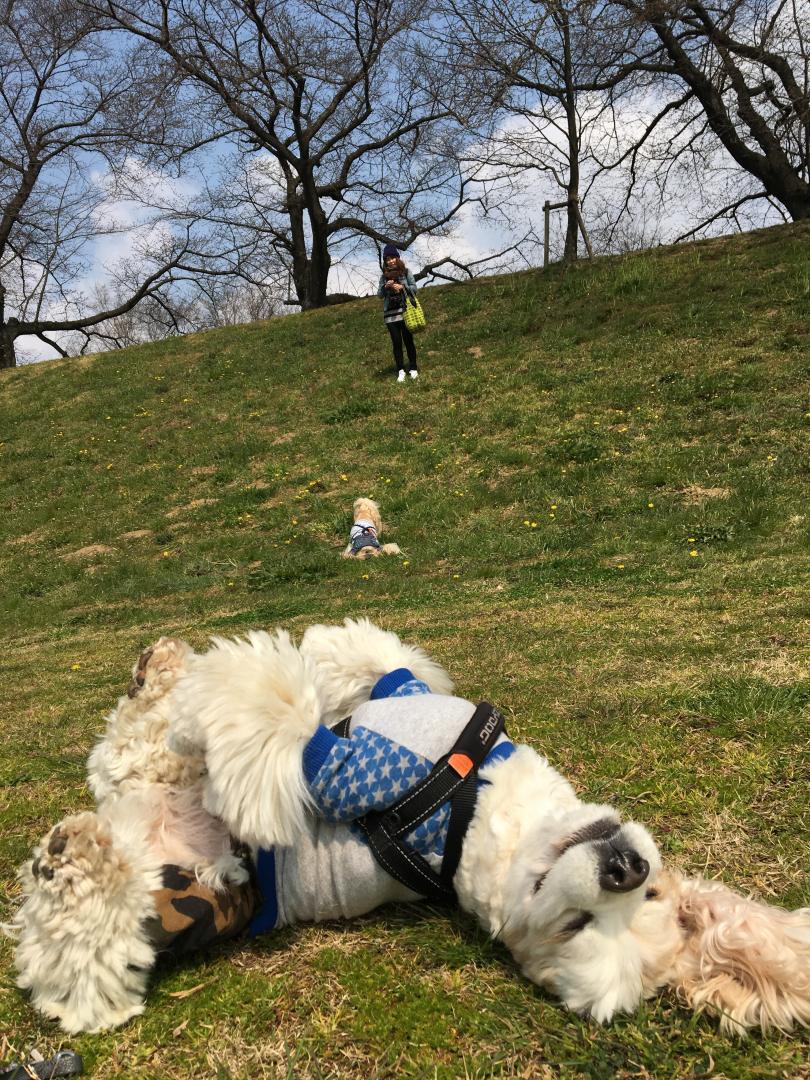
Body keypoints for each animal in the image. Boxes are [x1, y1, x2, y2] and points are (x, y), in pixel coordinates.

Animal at [6, 626, 810, 1036]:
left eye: (578, 927)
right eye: (649, 898)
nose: (627, 871)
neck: (474, 801)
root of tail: (140, 837)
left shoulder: (347, 773)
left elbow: (286, 724)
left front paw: (244, 684)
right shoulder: (408, 694)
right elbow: (381, 658)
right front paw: (321, 650)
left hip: (171, 908)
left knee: (75, 953)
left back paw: (72, 862)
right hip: (145, 786)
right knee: (131, 748)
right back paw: (158, 679)